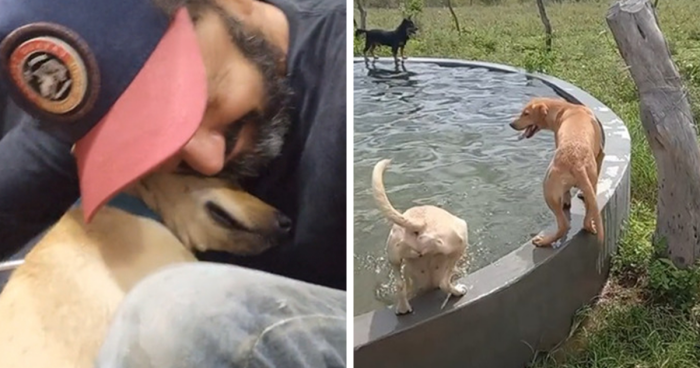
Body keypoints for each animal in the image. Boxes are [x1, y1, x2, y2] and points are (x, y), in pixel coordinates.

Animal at [372, 157, 470, 314]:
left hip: (393, 258)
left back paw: (403, 308)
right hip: (461, 235)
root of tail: (419, 223)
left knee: (400, 285)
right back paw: (458, 291)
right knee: (444, 283)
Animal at [508, 98, 608, 247]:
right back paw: (590, 226)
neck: (566, 108)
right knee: (586, 217)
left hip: (548, 191)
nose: (511, 124)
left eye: (526, 113)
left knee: (563, 226)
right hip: (589, 187)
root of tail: (576, 162)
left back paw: (544, 241)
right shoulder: (600, 155)